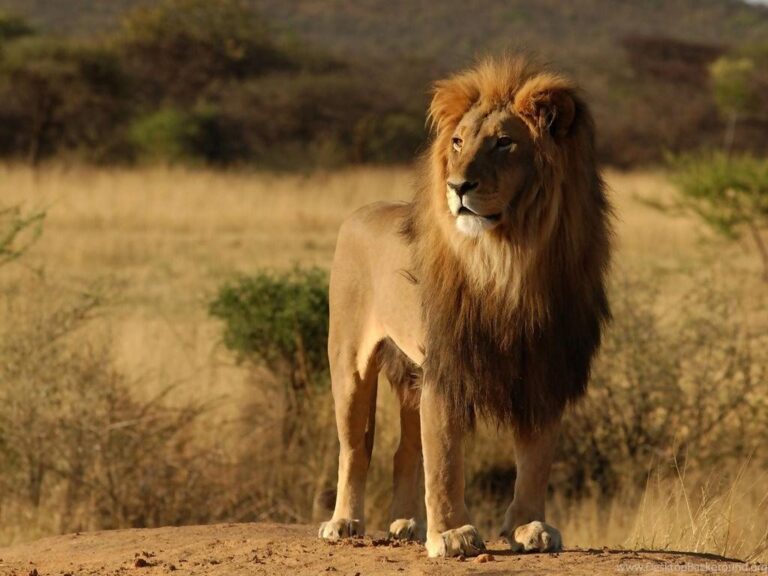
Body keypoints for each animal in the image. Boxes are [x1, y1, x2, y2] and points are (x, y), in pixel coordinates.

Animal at [318, 55, 612, 558]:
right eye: (458, 142)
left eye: (503, 143)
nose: (458, 186)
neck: (509, 259)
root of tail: (360, 211)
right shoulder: (448, 365)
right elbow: (445, 458)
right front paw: (453, 534)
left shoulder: (544, 366)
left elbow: (536, 457)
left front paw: (529, 527)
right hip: (350, 362)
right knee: (356, 447)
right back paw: (344, 522)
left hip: (410, 374)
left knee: (404, 450)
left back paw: (407, 523)